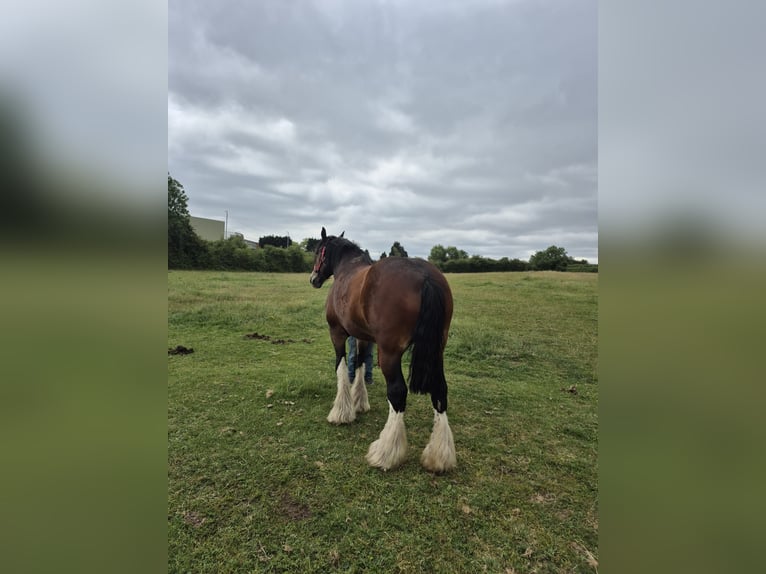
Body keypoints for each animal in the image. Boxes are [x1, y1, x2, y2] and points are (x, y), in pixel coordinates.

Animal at [309, 227, 456, 473]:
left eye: (318, 251)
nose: (313, 279)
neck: (347, 271)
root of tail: (425, 276)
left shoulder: (337, 333)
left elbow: (341, 367)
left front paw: (341, 412)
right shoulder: (363, 337)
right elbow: (359, 363)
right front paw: (359, 402)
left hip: (388, 353)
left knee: (397, 393)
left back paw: (386, 453)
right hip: (437, 351)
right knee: (440, 391)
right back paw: (439, 456)